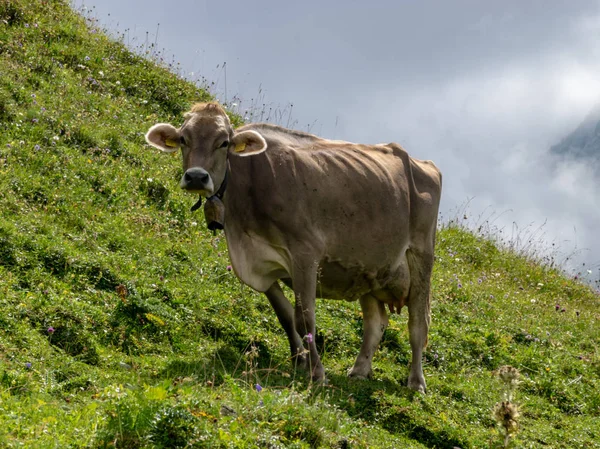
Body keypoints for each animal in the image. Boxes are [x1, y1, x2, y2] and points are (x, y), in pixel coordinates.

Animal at [146, 102, 440, 392]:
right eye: (183, 139)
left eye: (224, 142)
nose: (196, 177)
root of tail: (421, 162)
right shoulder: (260, 264)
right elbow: (286, 315)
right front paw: (299, 359)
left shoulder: (305, 254)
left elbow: (305, 318)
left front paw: (317, 372)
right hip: (370, 268)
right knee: (375, 322)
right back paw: (359, 371)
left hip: (420, 254)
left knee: (418, 323)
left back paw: (416, 382)